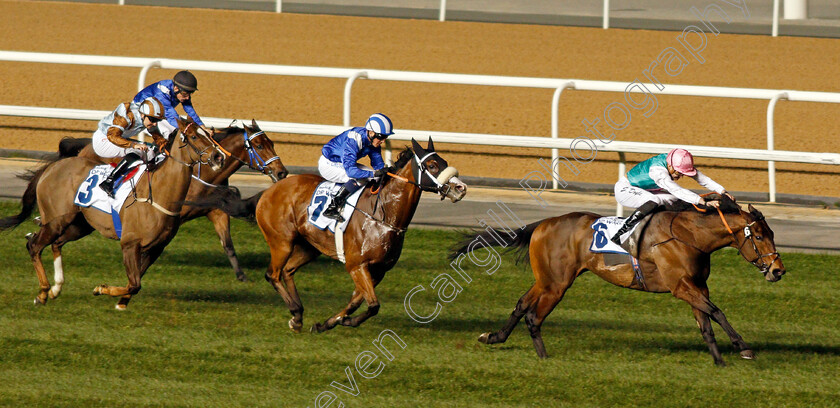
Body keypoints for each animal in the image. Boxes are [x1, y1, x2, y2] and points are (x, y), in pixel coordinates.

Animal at [0, 118, 226, 310]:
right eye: (194, 137)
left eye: (209, 134)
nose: (218, 157)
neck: (158, 194)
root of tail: (53, 167)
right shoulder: (129, 244)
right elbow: (134, 283)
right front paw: (102, 289)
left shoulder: (156, 248)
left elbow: (135, 282)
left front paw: (121, 301)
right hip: (56, 220)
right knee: (34, 245)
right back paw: (43, 293)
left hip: (80, 224)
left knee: (56, 244)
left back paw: (56, 288)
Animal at [58, 119, 288, 282]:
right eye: (259, 146)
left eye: (271, 143)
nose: (282, 172)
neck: (204, 173)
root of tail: (85, 146)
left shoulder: (216, 211)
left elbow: (228, 243)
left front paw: (241, 275)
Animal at [201, 139, 470, 334]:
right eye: (432, 166)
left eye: (444, 161)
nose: (460, 188)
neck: (383, 215)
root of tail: (268, 191)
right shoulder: (356, 265)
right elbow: (373, 305)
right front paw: (345, 321)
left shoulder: (378, 270)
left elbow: (357, 302)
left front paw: (328, 322)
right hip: (282, 242)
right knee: (273, 274)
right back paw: (295, 313)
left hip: (309, 247)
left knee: (287, 271)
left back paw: (298, 315)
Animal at [452, 196, 788, 364]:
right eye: (759, 236)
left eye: (772, 233)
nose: (778, 270)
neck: (689, 235)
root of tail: (541, 225)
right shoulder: (681, 287)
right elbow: (716, 311)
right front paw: (743, 347)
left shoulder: (697, 285)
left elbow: (706, 321)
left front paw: (719, 360)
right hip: (556, 284)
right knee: (534, 315)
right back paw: (544, 357)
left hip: (547, 280)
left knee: (522, 304)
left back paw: (494, 337)